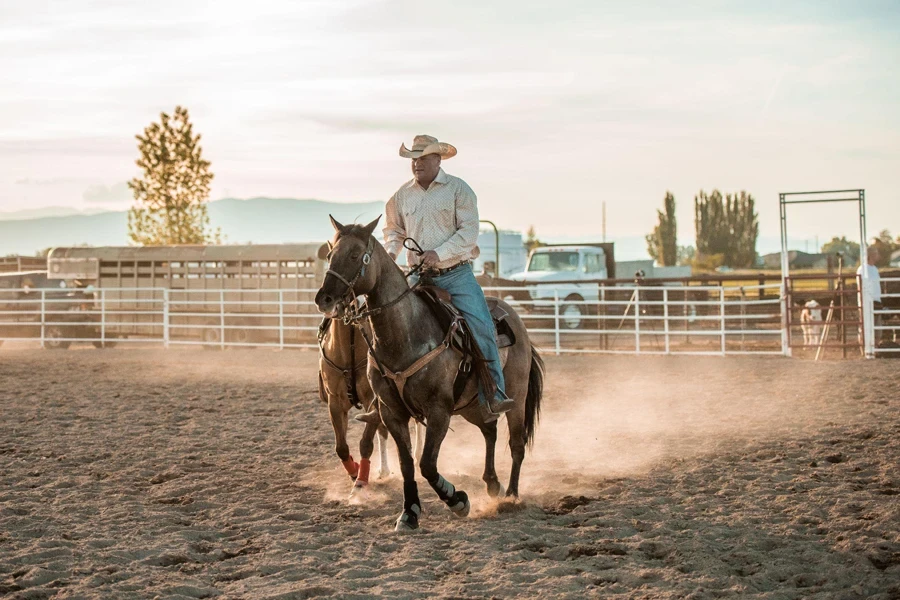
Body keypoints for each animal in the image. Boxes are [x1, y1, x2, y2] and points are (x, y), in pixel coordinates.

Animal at [312, 216, 544, 528]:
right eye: (329, 255)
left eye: (355, 255)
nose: (323, 299)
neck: (405, 335)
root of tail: (516, 318)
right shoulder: (391, 412)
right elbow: (407, 463)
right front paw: (409, 511)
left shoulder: (438, 411)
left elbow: (427, 464)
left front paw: (457, 499)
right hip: (471, 404)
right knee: (489, 430)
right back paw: (492, 483)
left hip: (516, 398)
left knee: (516, 443)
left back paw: (510, 496)